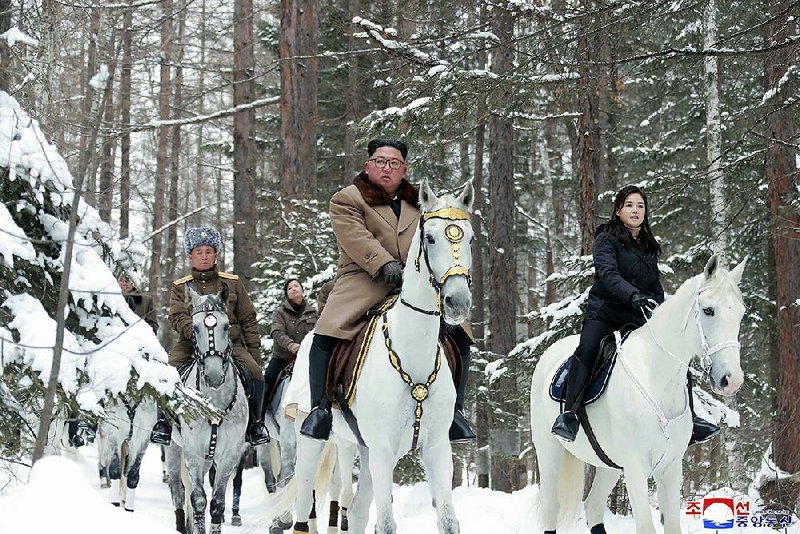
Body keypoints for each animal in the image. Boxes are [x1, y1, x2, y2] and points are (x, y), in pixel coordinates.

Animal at [165, 288, 247, 534]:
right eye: (195, 328)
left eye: (226, 326)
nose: (213, 375)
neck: (213, 403)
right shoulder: (192, 451)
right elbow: (198, 499)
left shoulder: (230, 453)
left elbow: (217, 502)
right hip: (174, 450)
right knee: (178, 490)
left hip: (209, 458)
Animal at [290, 181, 472, 534]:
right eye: (430, 238)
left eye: (470, 238)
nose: (458, 302)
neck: (413, 359)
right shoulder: (383, 451)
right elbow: (386, 524)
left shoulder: (436, 449)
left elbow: (448, 521)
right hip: (315, 443)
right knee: (304, 508)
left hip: (364, 448)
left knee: (358, 512)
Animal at [532, 255, 752, 534]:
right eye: (708, 310)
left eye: (740, 313)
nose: (731, 380)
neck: (656, 379)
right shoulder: (636, 468)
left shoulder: (670, 468)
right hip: (549, 451)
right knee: (552, 506)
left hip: (609, 465)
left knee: (593, 506)